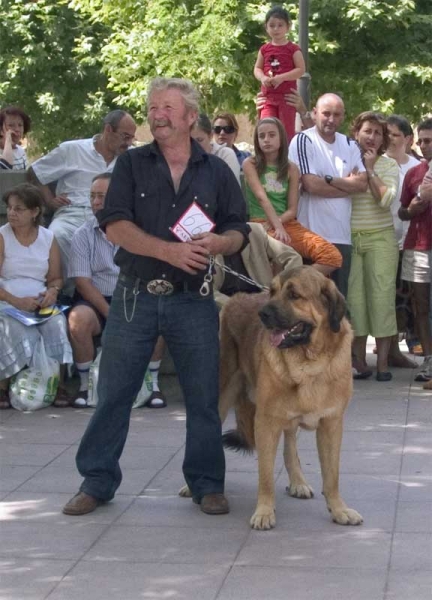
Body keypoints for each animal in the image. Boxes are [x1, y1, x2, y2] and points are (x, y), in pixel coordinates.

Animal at [221, 268, 362, 528]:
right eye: (272, 291)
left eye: (294, 295)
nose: (263, 314)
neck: (308, 363)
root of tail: (236, 297)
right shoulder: (265, 422)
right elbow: (265, 475)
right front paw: (264, 511)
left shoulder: (331, 423)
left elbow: (332, 475)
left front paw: (339, 509)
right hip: (222, 392)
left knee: (290, 445)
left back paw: (298, 482)